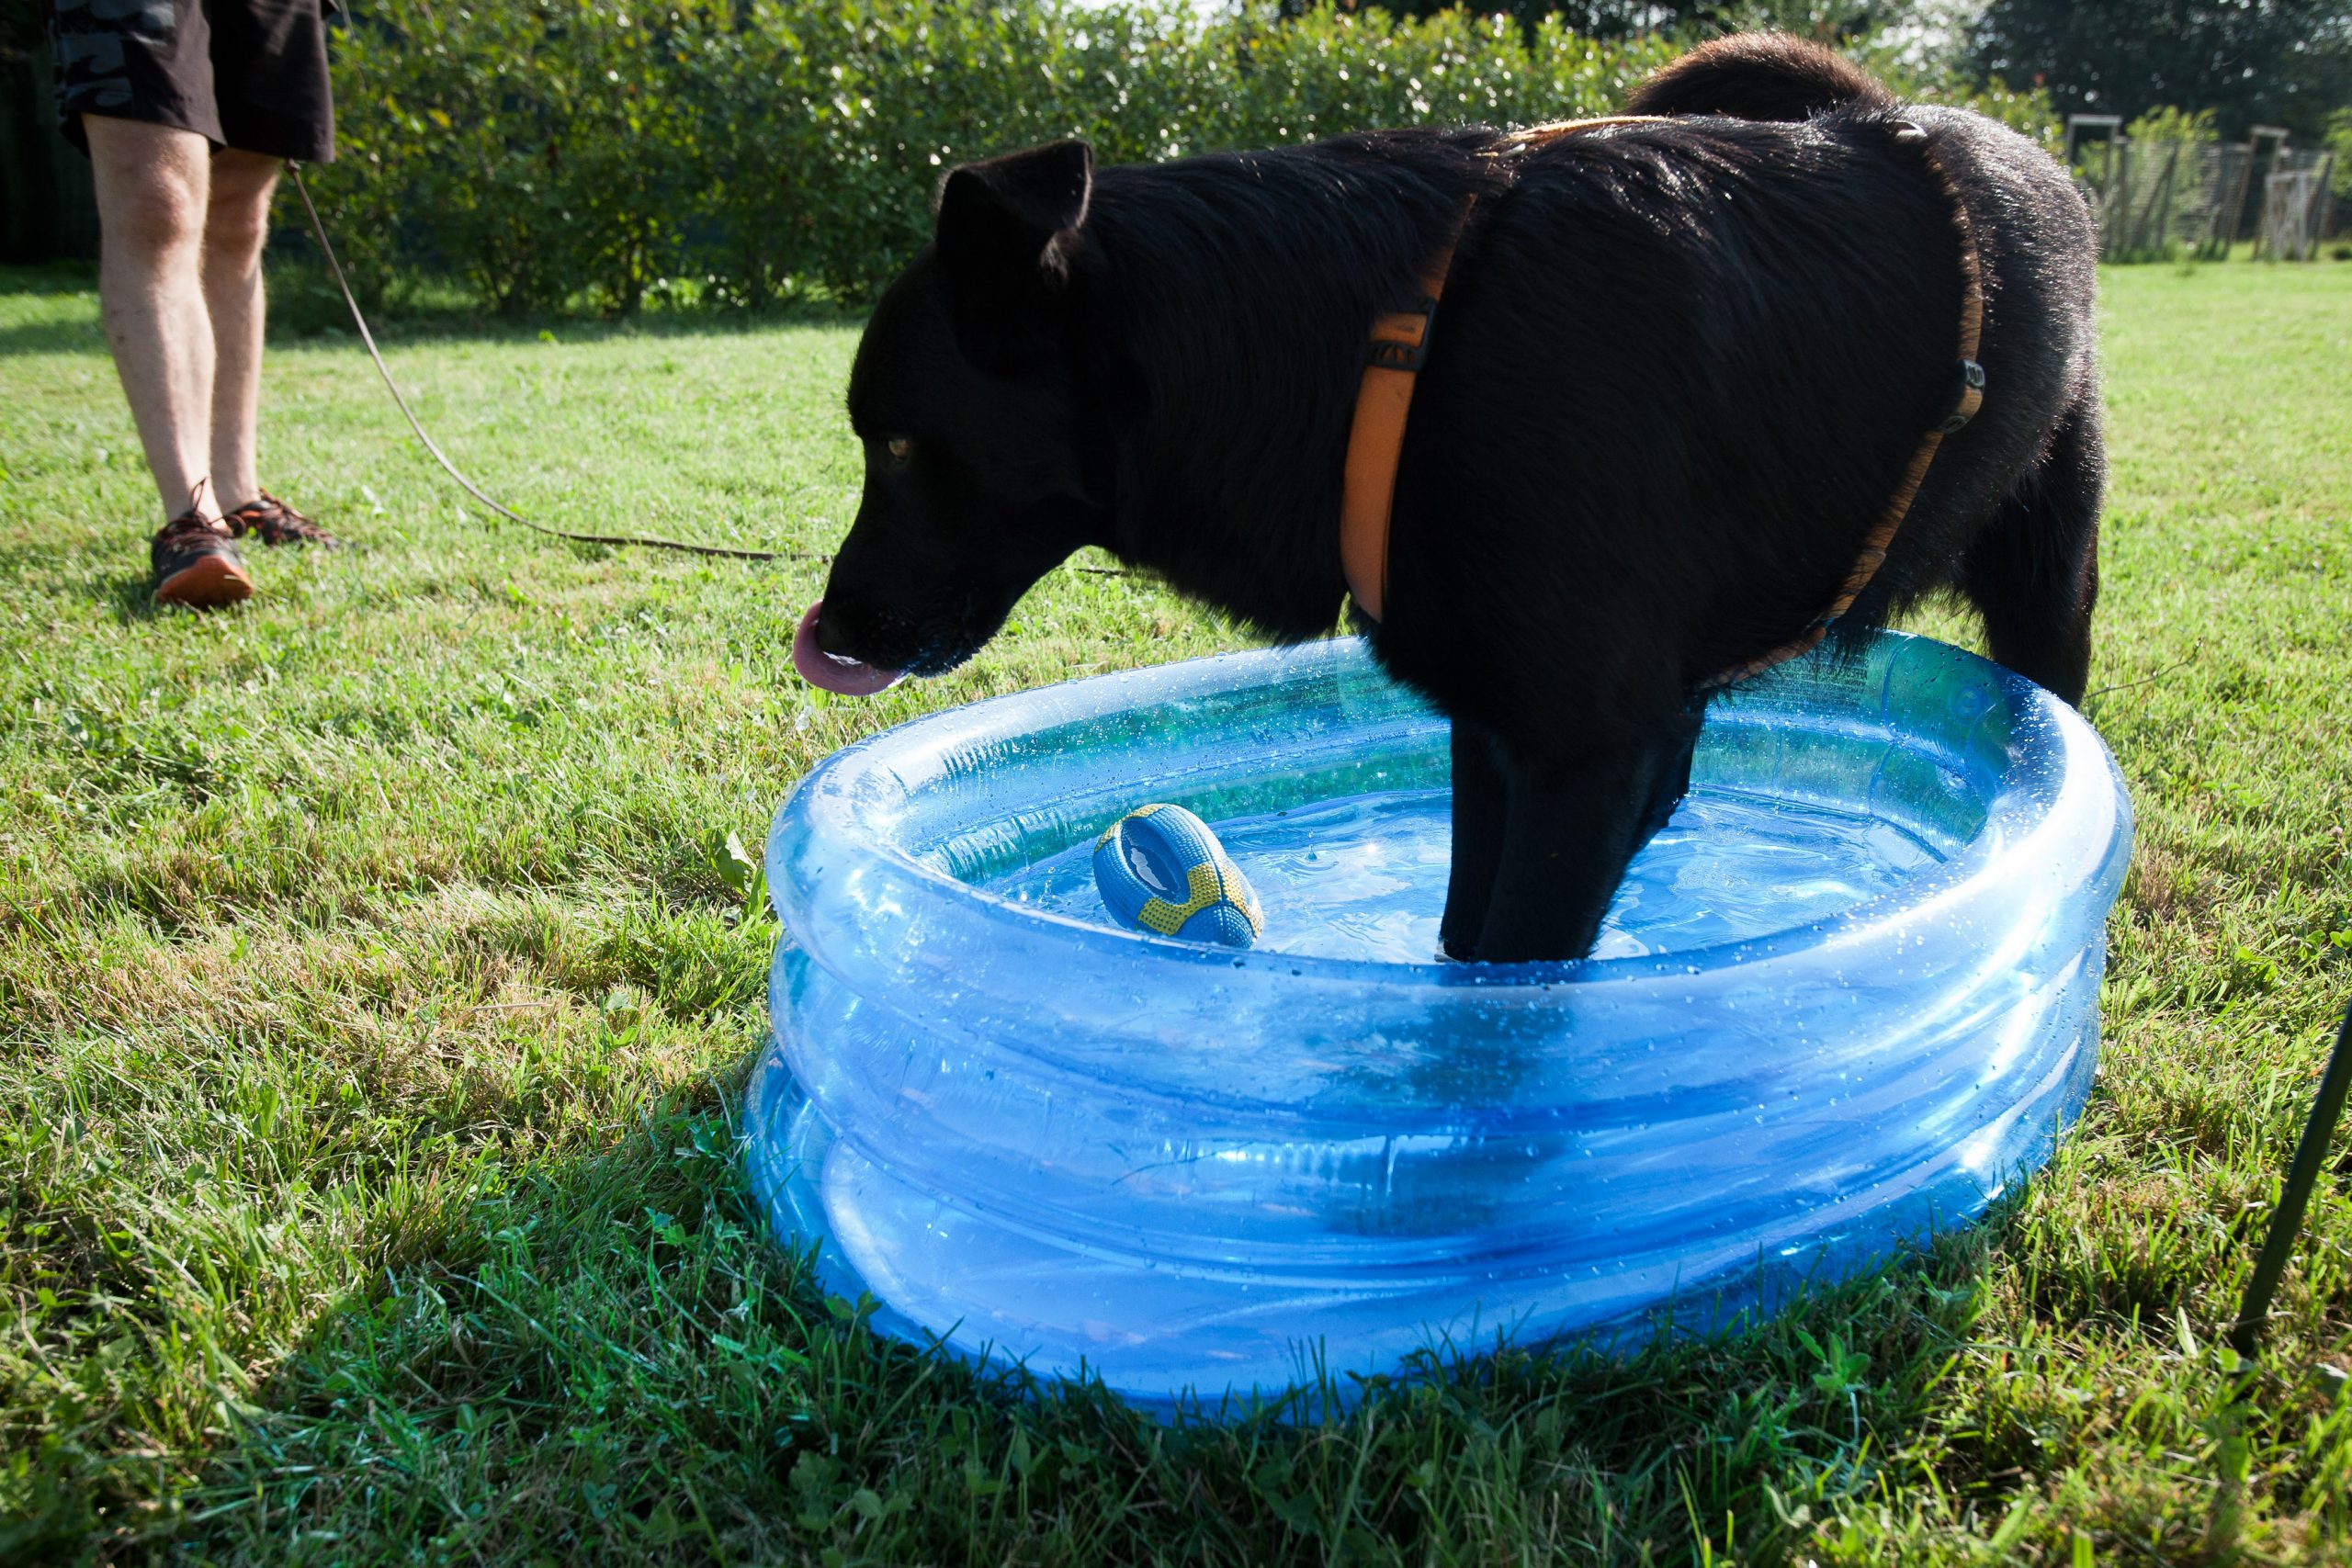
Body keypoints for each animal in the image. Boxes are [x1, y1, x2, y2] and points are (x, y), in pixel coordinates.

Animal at [799, 36, 2107, 964]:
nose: (832, 633)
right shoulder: (1495, 731)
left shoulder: (1576, 755)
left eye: (899, 443)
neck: (1394, 354)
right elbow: (1464, 950)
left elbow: (1509, 998)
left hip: (2050, 581)